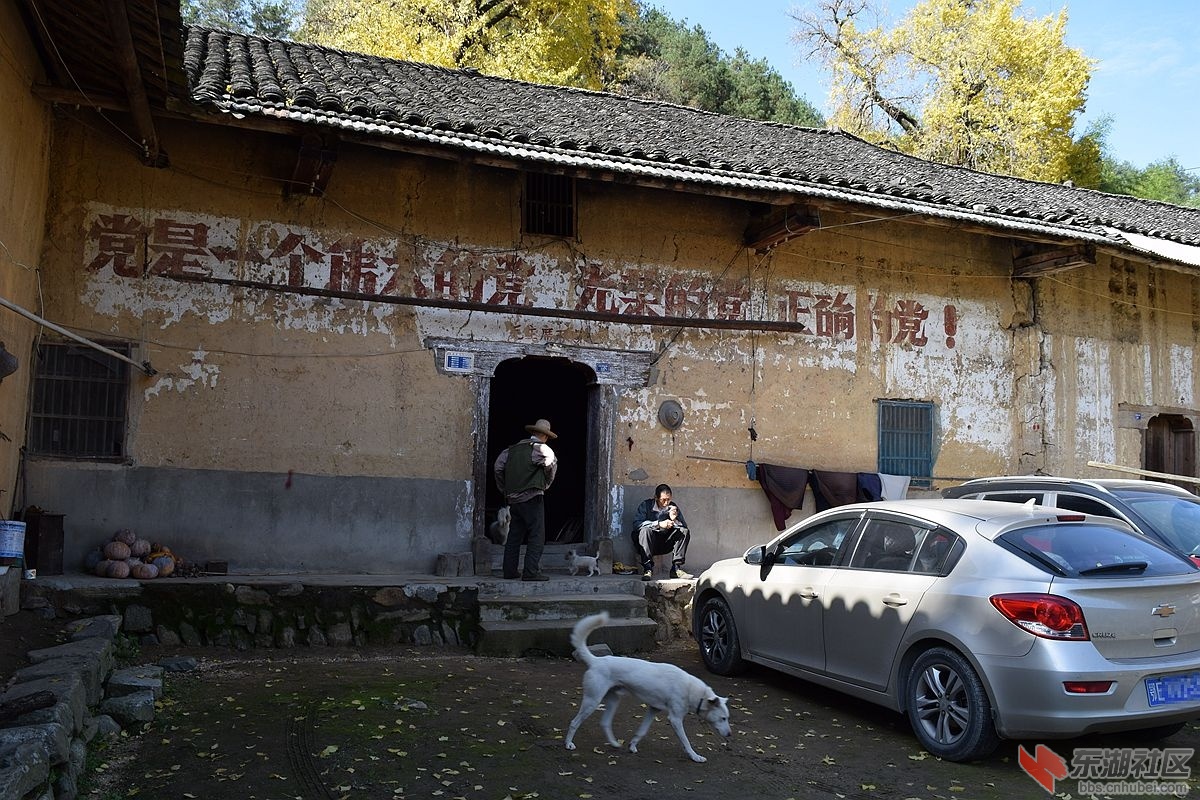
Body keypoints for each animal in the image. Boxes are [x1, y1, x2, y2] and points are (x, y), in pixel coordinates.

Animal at [561, 614, 729, 762]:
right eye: (723, 718)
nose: (729, 734)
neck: (692, 690)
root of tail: (596, 661)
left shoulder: (653, 709)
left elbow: (642, 731)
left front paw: (632, 745)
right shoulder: (675, 719)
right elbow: (686, 741)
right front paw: (695, 756)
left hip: (613, 701)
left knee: (605, 723)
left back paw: (614, 743)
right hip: (592, 701)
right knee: (574, 722)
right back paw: (568, 744)